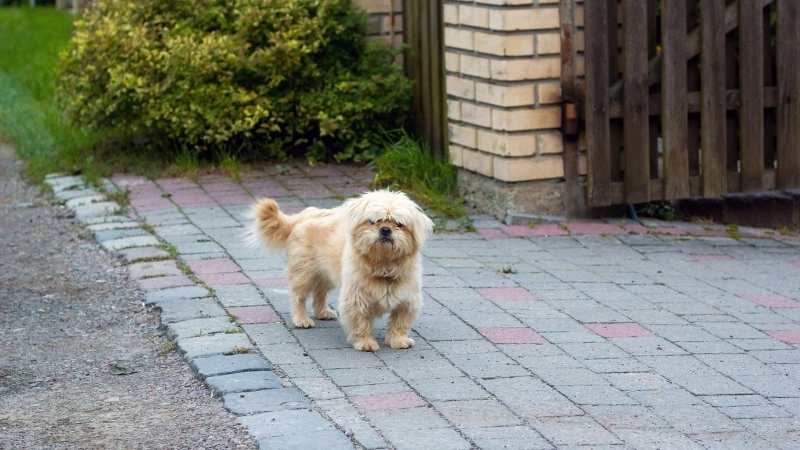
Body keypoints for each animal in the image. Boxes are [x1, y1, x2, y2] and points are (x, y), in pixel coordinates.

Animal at [253, 190, 434, 352]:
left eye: (399, 224)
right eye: (373, 221)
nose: (385, 229)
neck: (383, 264)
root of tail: (305, 215)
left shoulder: (407, 301)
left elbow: (400, 323)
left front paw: (398, 340)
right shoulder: (355, 299)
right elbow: (361, 323)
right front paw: (365, 342)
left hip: (325, 274)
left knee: (320, 294)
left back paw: (323, 312)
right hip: (304, 274)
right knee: (299, 297)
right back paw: (301, 319)